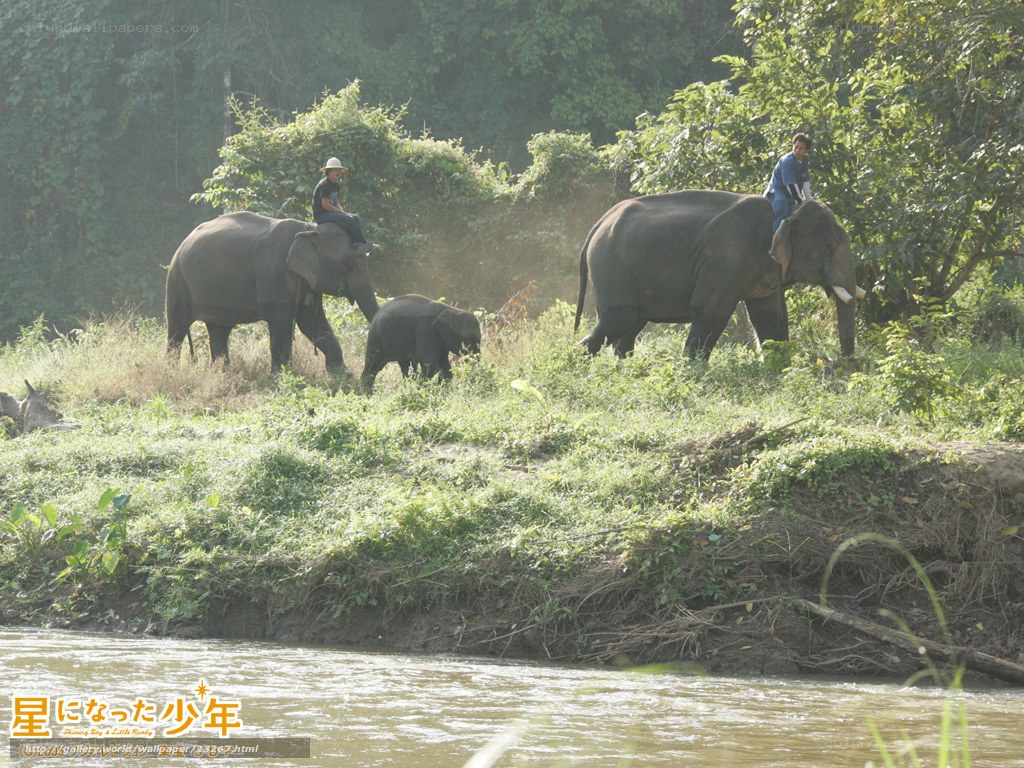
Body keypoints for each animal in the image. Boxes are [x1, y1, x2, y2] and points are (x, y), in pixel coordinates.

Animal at [165, 211, 379, 375]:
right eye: (345, 263)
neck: (308, 230)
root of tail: (183, 242)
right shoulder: (273, 274)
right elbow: (282, 322)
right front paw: (281, 376)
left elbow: (312, 322)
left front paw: (344, 374)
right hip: (177, 280)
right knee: (177, 327)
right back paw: (172, 372)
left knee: (219, 329)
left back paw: (222, 373)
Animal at [574, 191, 865, 360]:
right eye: (828, 245)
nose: (844, 362)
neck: (789, 210)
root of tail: (599, 223)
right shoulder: (726, 258)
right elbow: (711, 311)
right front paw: (691, 369)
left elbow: (769, 317)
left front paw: (779, 371)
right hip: (610, 268)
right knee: (620, 319)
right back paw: (577, 361)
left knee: (630, 325)